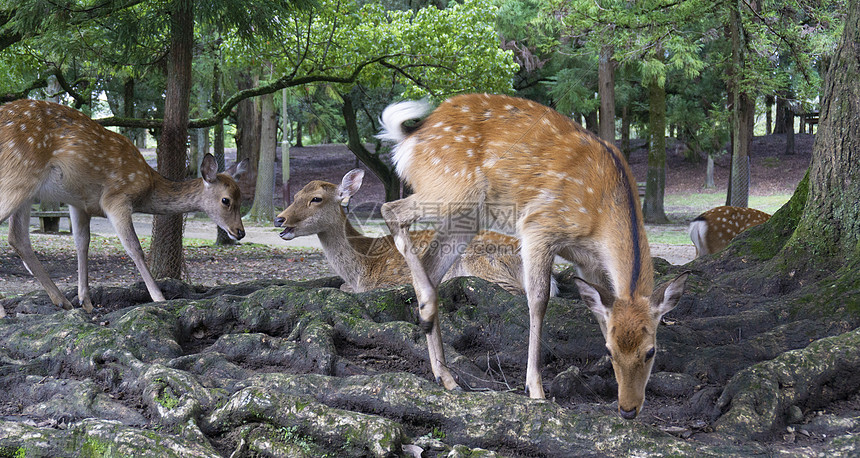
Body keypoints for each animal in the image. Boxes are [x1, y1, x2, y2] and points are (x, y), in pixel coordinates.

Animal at [0, 99, 249, 314]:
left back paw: (61, 300)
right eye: (226, 200)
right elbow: (134, 247)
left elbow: (82, 243)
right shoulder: (116, 197)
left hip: (27, 190)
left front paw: (86, 302)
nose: (240, 232)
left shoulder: (80, 203)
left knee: (18, 237)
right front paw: (159, 298)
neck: (148, 185)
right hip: (18, 175)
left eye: (241, 197)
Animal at [274, 170, 552, 296]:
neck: (361, 267)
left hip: (482, 264)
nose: (279, 219)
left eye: (316, 198)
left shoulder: (385, 284)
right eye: (295, 195)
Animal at [380, 95, 688, 420]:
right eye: (610, 351)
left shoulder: (588, 262)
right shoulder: (538, 227)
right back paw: (427, 313)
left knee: (431, 267)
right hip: (452, 190)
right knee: (390, 210)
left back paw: (447, 376)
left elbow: (599, 311)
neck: (600, 218)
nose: (629, 409)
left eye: (650, 351)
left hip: (465, 214)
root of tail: (411, 136)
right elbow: (539, 300)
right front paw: (535, 390)